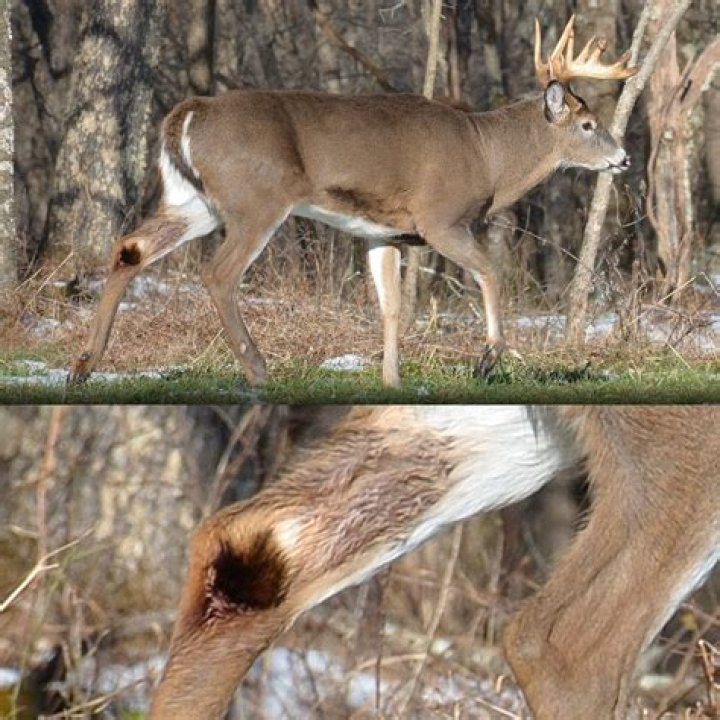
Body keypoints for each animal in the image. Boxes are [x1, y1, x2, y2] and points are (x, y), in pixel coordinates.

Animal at [68, 17, 636, 388]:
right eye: (589, 125)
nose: (625, 158)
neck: (487, 155)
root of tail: (188, 112)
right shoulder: (440, 219)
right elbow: (491, 272)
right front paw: (487, 359)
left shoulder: (383, 234)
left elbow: (389, 308)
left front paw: (392, 381)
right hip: (256, 199)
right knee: (218, 273)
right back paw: (258, 369)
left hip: (193, 203)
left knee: (130, 248)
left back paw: (83, 364)